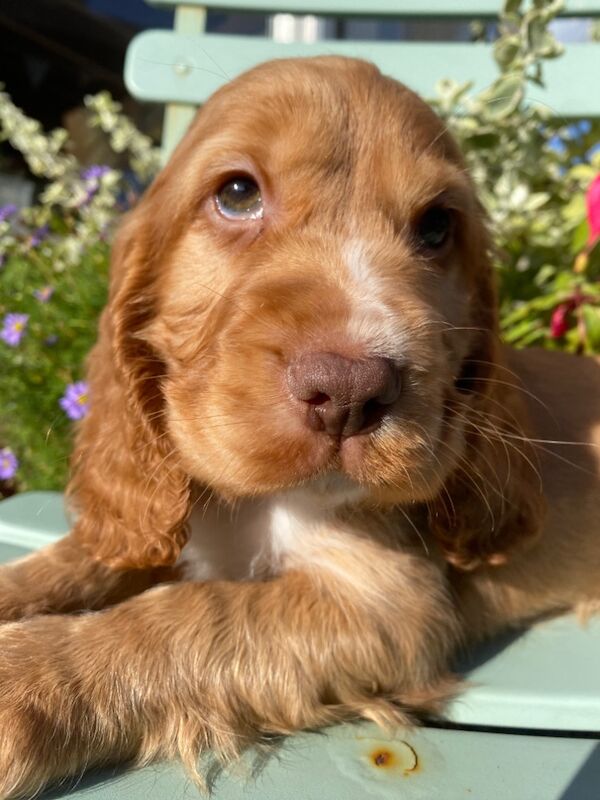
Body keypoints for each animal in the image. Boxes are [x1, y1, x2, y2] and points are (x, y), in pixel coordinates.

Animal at [1, 59, 600, 796]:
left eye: (437, 227)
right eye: (237, 193)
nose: (350, 390)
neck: (247, 504)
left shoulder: (388, 605)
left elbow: (185, 616)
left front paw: (22, 678)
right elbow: (73, 560)